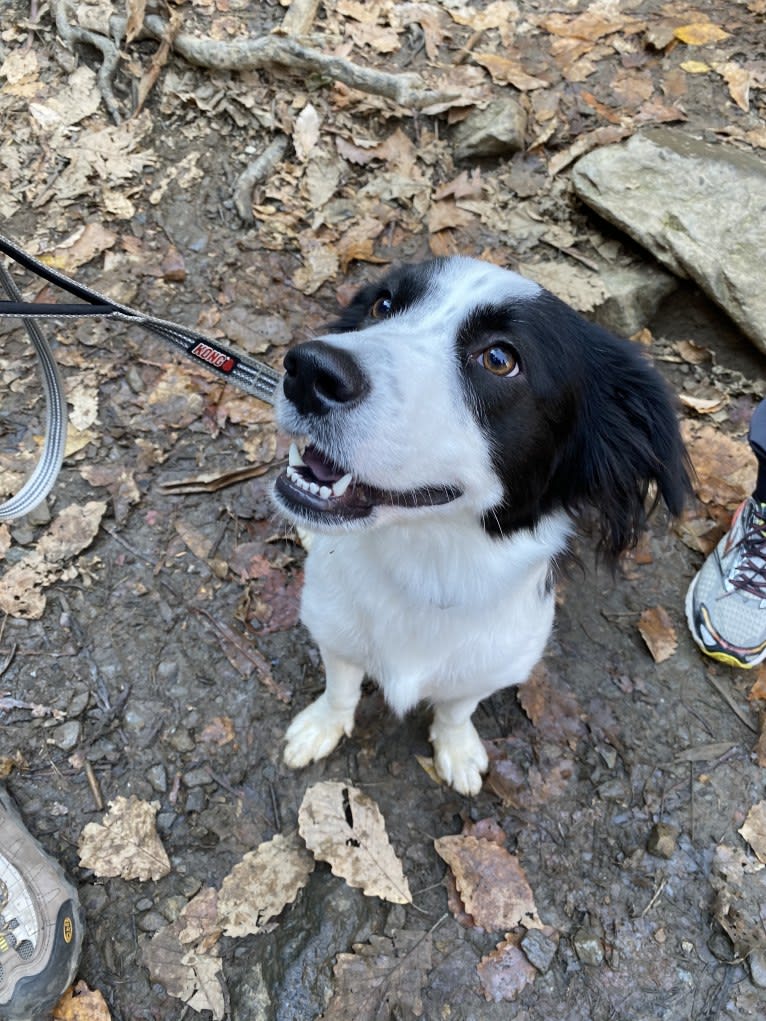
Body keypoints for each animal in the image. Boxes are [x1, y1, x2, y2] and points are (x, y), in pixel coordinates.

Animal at [273, 257, 690, 796]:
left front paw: (457, 749)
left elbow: (456, 708)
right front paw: (322, 726)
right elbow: (341, 687)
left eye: (498, 359)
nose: (307, 370)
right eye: (382, 304)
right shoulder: (334, 630)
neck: (426, 569)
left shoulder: (489, 666)